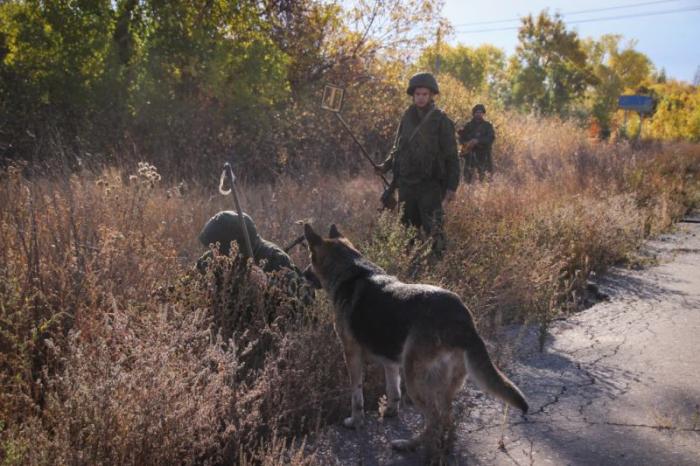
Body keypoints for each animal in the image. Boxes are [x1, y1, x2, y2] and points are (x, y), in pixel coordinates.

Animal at [304, 224, 528, 456]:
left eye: (309, 256)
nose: (303, 274)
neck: (350, 269)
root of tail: (463, 319)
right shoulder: (390, 362)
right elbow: (393, 390)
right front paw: (390, 411)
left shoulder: (351, 354)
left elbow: (357, 396)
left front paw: (356, 422)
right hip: (443, 385)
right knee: (447, 418)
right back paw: (443, 447)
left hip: (414, 377)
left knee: (434, 419)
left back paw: (409, 444)